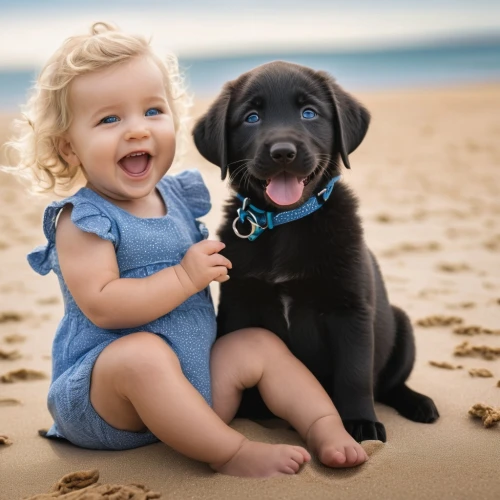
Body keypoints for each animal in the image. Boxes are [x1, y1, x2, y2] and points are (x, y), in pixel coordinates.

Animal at [193, 61, 440, 442]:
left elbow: (354, 375)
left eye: (309, 113)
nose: (282, 152)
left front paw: (360, 423)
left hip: (402, 326)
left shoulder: (350, 310)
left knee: (388, 384)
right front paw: (245, 411)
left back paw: (418, 403)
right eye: (251, 117)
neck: (285, 222)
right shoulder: (239, 303)